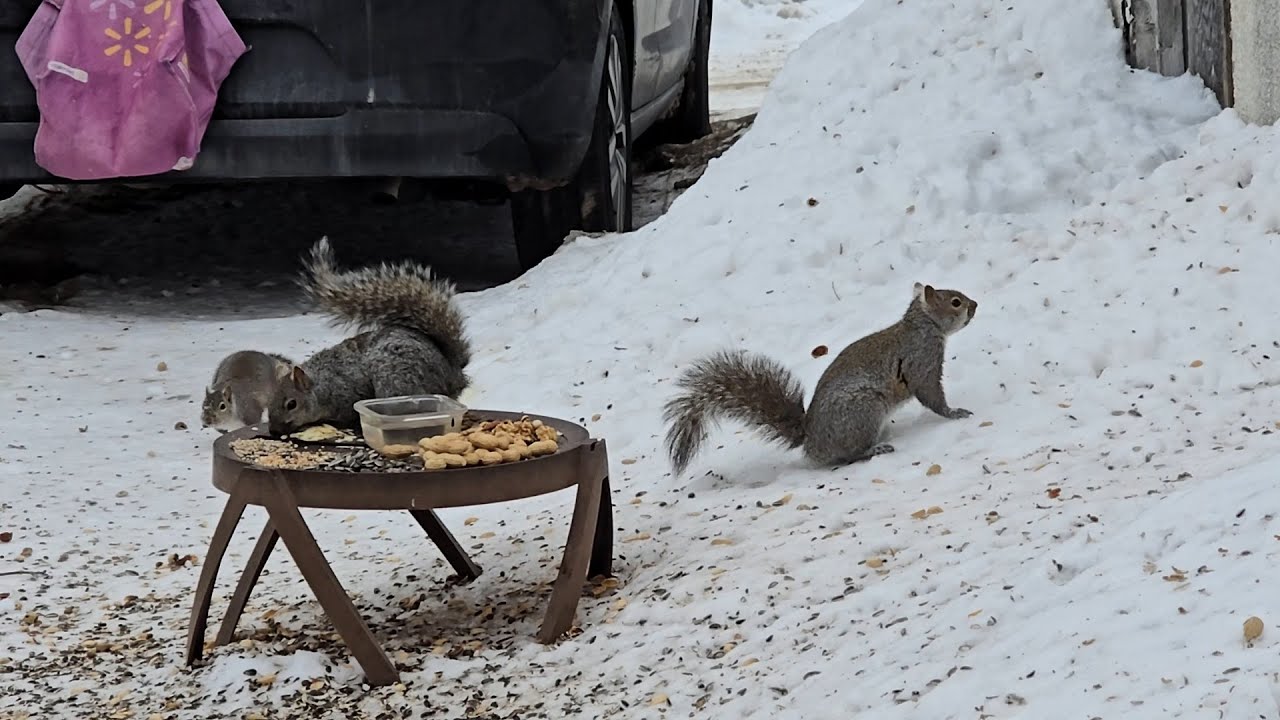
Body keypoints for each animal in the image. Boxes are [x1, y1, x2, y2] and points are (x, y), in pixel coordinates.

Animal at [205, 237, 472, 436]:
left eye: (292, 404)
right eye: (269, 402)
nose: (274, 431)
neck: (323, 386)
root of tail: (452, 370)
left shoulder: (351, 395)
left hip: (397, 380)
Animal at [663, 282, 977, 474]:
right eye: (955, 301)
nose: (975, 304)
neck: (923, 325)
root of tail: (811, 440)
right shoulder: (921, 359)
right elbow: (930, 393)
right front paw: (954, 412)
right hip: (863, 409)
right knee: (850, 455)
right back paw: (875, 448)